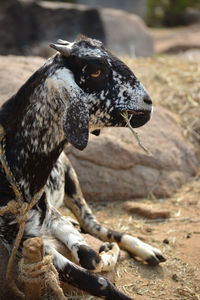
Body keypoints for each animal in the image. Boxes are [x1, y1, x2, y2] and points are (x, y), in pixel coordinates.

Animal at [0, 36, 166, 298]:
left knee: (92, 223)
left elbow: (90, 257)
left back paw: (146, 250)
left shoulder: (52, 217)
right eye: (96, 70)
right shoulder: (17, 238)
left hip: (72, 181)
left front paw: (109, 250)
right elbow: (94, 277)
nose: (148, 102)